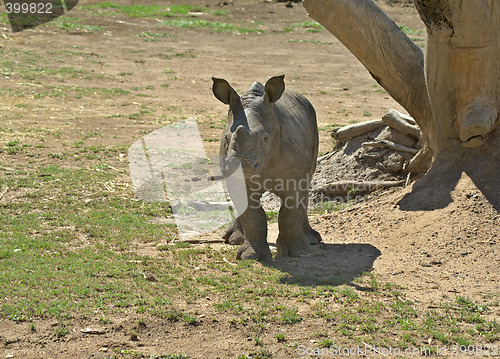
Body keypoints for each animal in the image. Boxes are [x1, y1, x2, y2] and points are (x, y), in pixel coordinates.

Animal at [212, 76, 322, 262]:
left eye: (265, 138)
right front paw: (250, 256)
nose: (238, 165)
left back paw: (312, 240)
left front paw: (298, 252)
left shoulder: (295, 173)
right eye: (226, 138)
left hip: (312, 119)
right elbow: (252, 215)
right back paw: (234, 239)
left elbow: (290, 210)